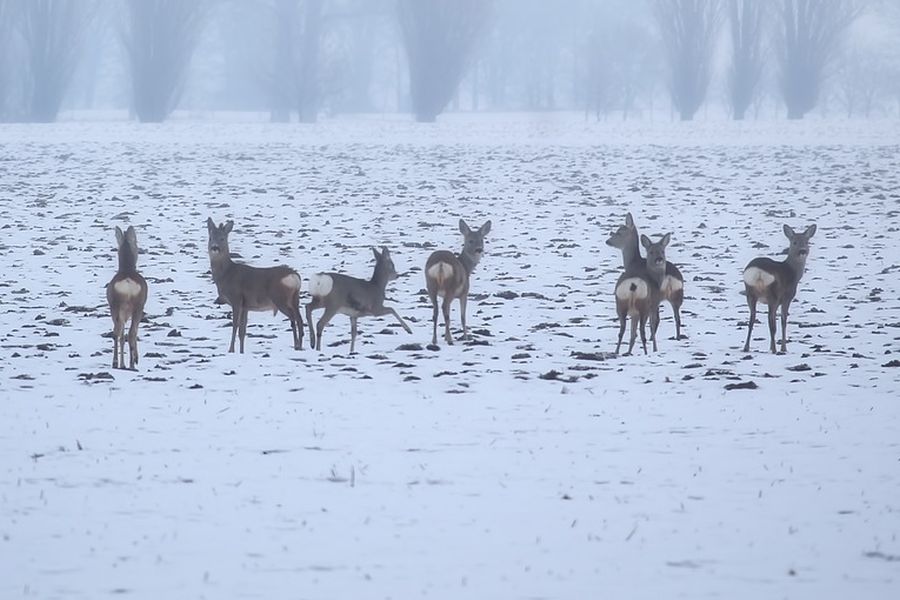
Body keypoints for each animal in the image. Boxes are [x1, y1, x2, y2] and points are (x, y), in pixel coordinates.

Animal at [107, 226, 149, 370]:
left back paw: (116, 363)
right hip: (137, 306)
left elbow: (121, 336)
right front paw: (135, 359)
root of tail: (127, 282)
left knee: (117, 333)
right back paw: (131, 364)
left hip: (115, 306)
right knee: (131, 333)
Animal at [206, 219, 304, 352]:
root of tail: (294, 275)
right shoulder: (245, 306)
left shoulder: (236, 299)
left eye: (222, 238)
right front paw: (241, 351)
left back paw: (297, 345)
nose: (214, 247)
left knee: (293, 318)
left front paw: (231, 350)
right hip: (295, 299)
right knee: (299, 319)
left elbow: (235, 326)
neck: (226, 274)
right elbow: (242, 330)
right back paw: (302, 345)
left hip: (280, 298)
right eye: (210, 238)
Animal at [740, 225, 820, 356]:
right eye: (794, 242)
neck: (793, 273)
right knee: (770, 320)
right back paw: (774, 349)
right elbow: (783, 321)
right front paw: (783, 348)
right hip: (773, 294)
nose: (803, 251)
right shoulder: (787, 297)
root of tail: (758, 273)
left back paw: (746, 347)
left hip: (750, 293)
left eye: (807, 242)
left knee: (752, 319)